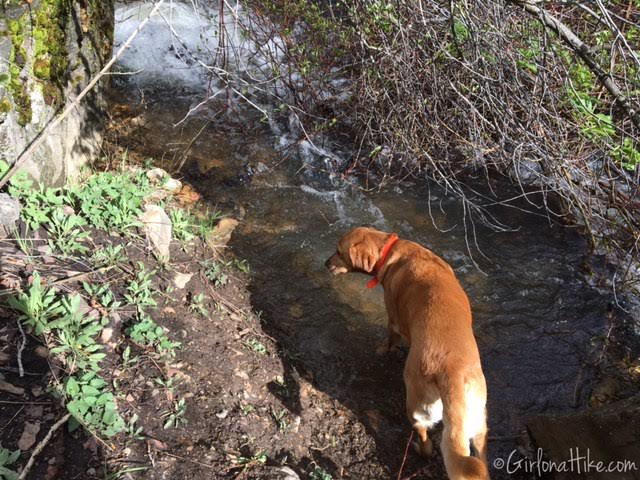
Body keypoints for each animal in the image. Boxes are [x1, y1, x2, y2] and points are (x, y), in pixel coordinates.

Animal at [328, 226, 488, 480]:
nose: (326, 264)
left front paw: (383, 350)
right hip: (477, 421)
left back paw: (418, 448)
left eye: (338, 251)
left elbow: (389, 340)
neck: (391, 249)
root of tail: (452, 370)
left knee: (426, 440)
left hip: (416, 405)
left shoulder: (393, 319)